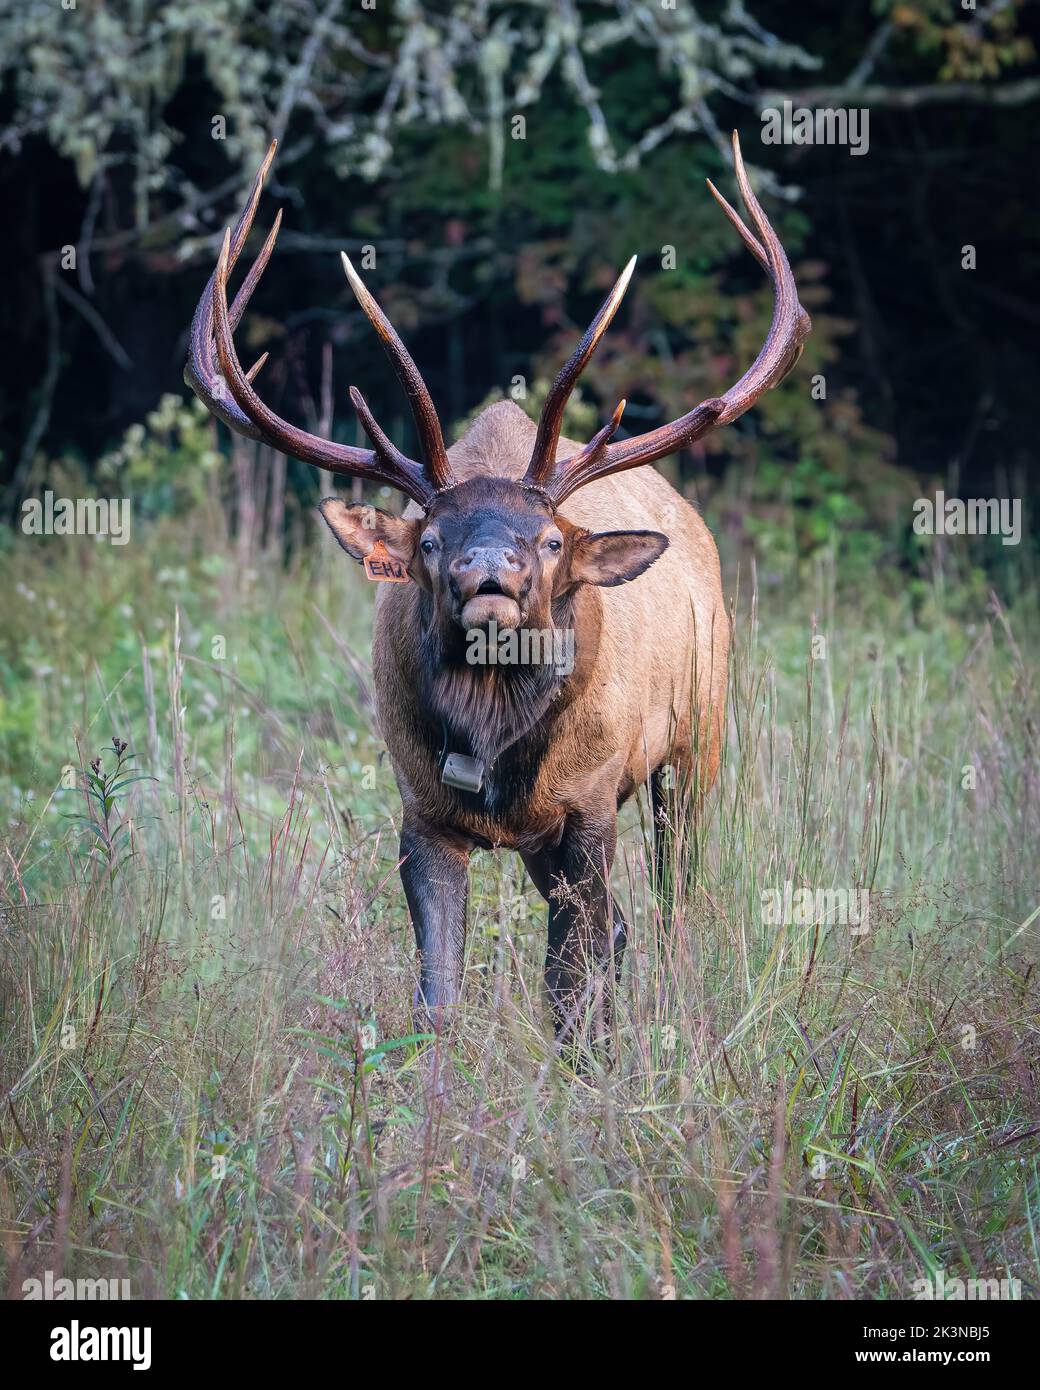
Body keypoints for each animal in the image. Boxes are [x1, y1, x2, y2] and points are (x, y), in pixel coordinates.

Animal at [185, 133, 810, 1050]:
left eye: (551, 540)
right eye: (429, 540)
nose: (491, 575)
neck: (494, 744)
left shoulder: (590, 801)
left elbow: (571, 984)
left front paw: (590, 1067)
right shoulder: (421, 812)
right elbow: (438, 1001)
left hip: (699, 739)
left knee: (674, 902)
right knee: (623, 926)